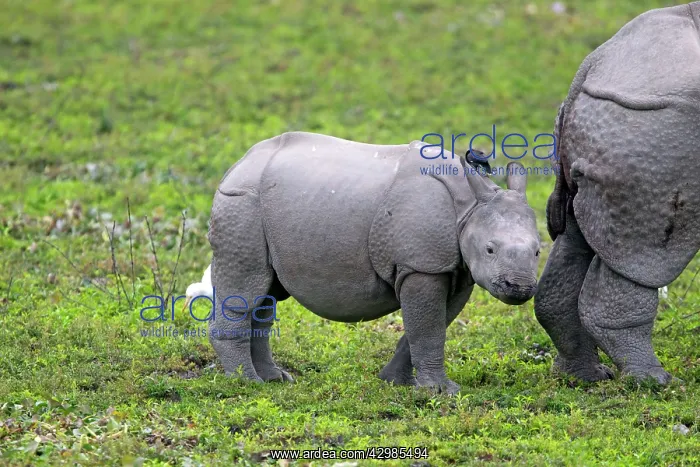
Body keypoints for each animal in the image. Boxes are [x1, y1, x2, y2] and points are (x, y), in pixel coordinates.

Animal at [207, 132, 540, 394]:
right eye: (489, 250)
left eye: (538, 252)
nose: (519, 287)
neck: (469, 208)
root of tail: (240, 163)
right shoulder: (422, 265)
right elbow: (428, 328)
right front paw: (440, 391)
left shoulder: (455, 270)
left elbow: (432, 324)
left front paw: (396, 382)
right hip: (242, 203)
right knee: (246, 288)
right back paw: (247, 383)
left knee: (266, 295)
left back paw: (275, 379)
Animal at [535, 2, 700, 384]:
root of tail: (590, 68)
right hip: (655, 124)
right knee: (646, 255)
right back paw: (656, 382)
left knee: (576, 235)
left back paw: (585, 377)